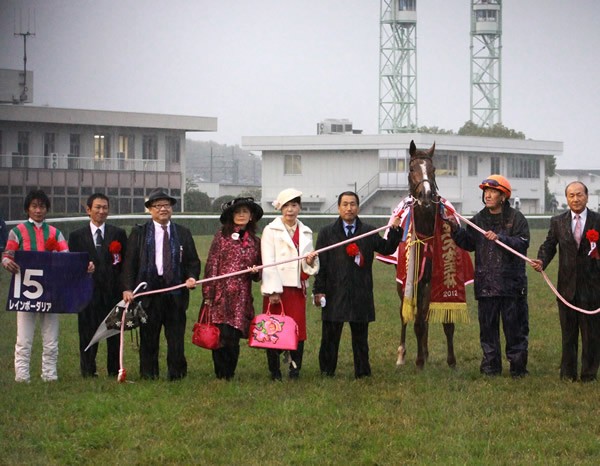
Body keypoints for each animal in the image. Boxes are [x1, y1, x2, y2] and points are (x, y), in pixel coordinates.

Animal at [396, 140, 458, 370]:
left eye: (433, 169)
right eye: (412, 168)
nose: (425, 196)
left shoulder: (436, 277)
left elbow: (444, 320)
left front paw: (451, 360)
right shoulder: (413, 279)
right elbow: (417, 320)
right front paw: (419, 361)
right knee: (405, 315)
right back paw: (403, 354)